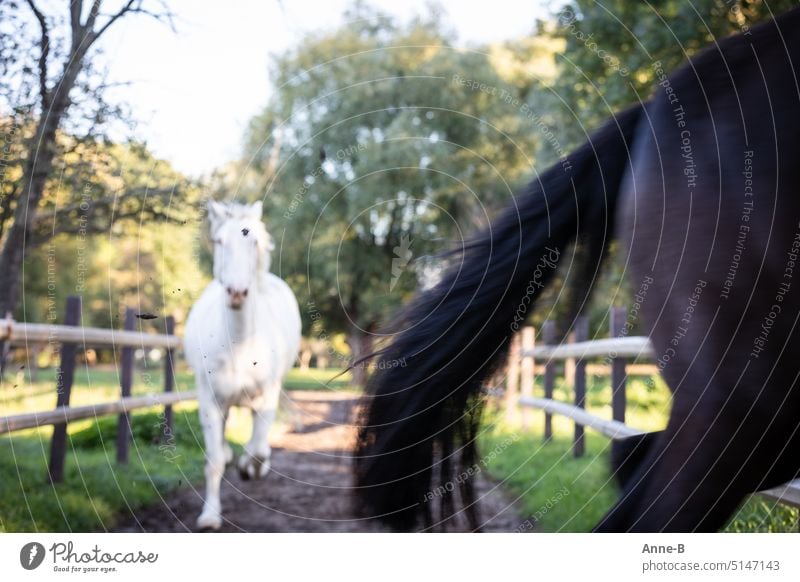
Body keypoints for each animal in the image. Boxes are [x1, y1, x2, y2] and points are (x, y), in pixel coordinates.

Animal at [183, 200, 302, 528]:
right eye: (218, 241)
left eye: (254, 242)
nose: (237, 292)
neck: (239, 346)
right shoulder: (209, 400)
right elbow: (213, 461)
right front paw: (210, 516)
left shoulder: (267, 398)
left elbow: (258, 449)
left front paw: (251, 468)